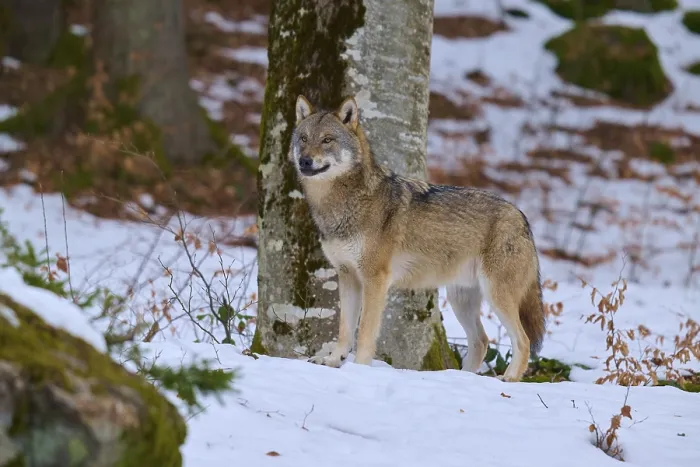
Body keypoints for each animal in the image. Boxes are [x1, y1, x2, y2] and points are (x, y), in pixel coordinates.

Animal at [289, 94, 546, 382]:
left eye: (327, 140)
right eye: (304, 138)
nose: (305, 161)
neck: (341, 205)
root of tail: (521, 216)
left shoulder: (375, 280)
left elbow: (365, 331)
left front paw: (360, 368)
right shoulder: (347, 276)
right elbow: (344, 329)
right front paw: (334, 361)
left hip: (496, 296)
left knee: (523, 341)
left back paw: (508, 378)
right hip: (461, 300)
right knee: (481, 341)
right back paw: (457, 378)